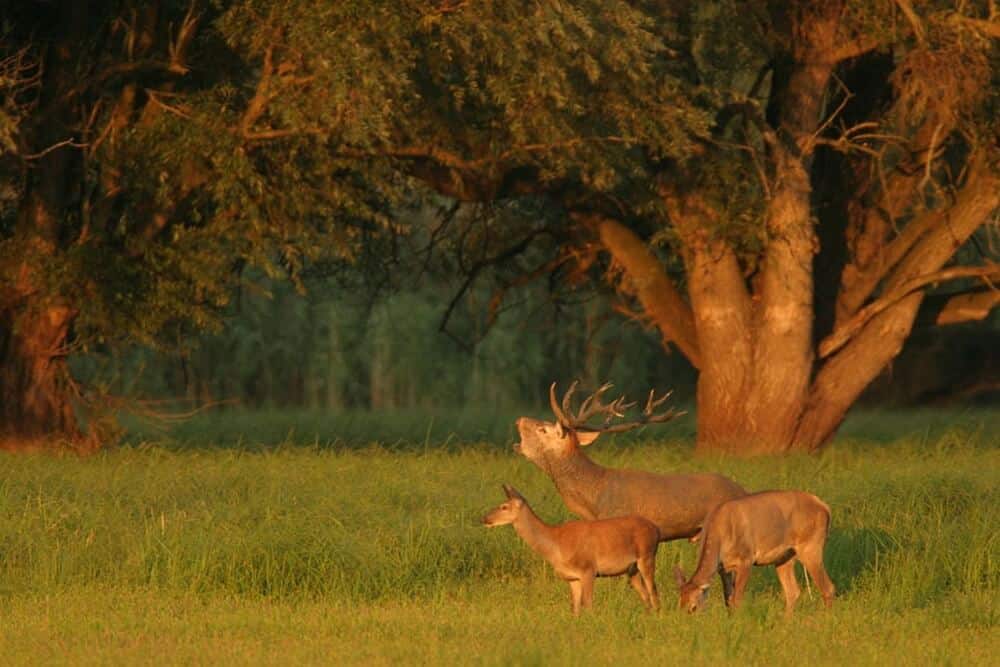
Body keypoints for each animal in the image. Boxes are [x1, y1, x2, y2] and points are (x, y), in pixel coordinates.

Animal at [480, 482, 660, 612]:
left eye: (504, 506)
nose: (484, 518)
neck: (555, 544)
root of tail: (656, 529)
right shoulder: (572, 578)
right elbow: (575, 609)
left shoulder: (588, 569)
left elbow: (588, 605)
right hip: (632, 569)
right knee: (646, 596)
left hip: (647, 555)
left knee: (654, 593)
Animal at [672, 490, 836, 616]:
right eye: (679, 604)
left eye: (693, 607)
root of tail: (825, 507)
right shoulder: (723, 568)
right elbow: (728, 599)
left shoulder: (746, 559)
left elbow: (736, 599)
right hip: (784, 556)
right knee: (793, 592)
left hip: (811, 546)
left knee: (828, 588)